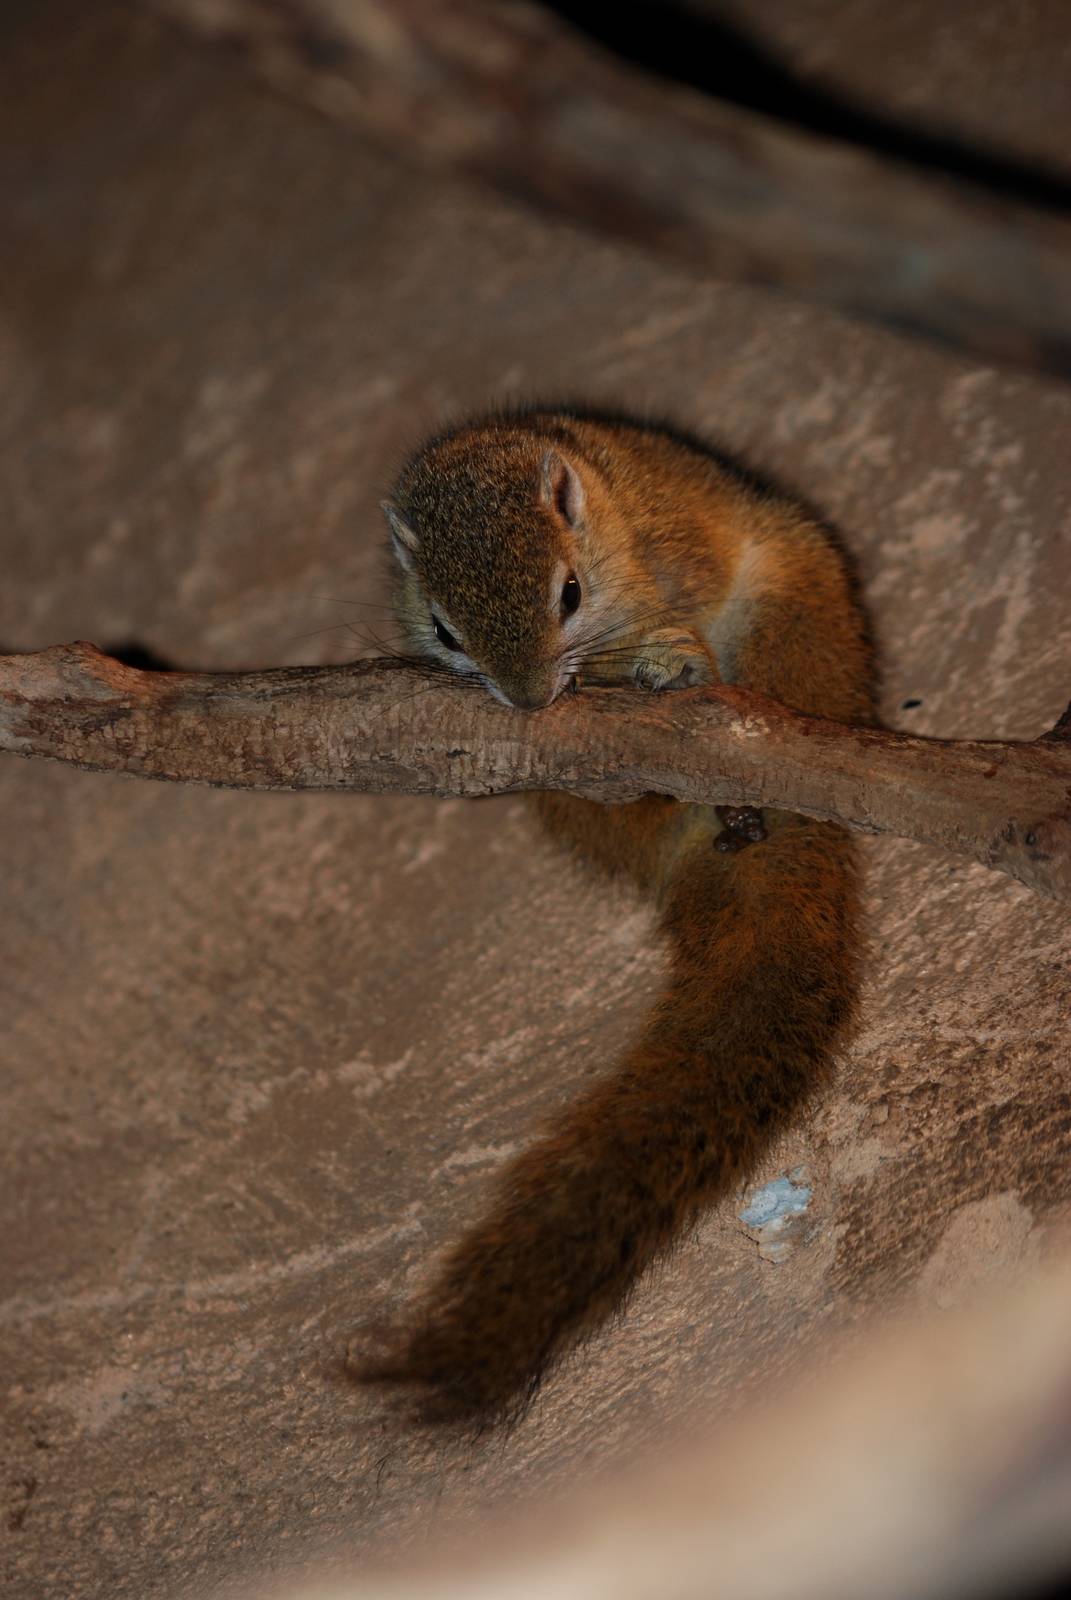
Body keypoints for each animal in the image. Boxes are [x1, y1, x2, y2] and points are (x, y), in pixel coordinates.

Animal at [351, 404, 874, 1423]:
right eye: (444, 631)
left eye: (568, 593)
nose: (528, 700)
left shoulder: (679, 537)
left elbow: (686, 603)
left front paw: (661, 660)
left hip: (801, 610)